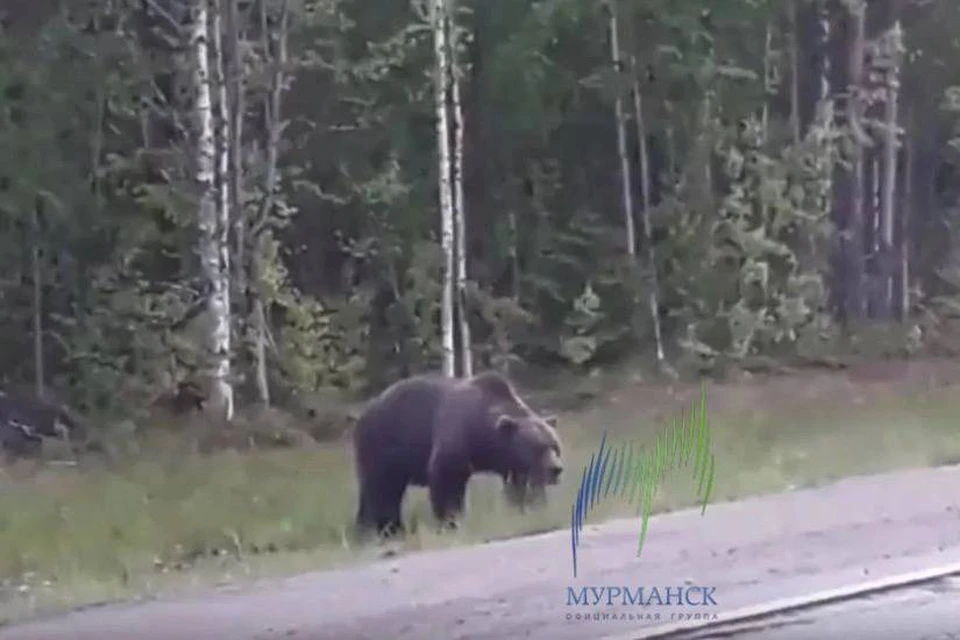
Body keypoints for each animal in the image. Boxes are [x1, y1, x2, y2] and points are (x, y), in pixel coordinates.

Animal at [352, 370, 564, 536]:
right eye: (537, 447)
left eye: (555, 446)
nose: (556, 469)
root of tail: (363, 414)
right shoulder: (456, 435)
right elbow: (447, 479)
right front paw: (451, 521)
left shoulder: (511, 463)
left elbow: (519, 486)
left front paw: (526, 509)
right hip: (382, 445)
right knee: (382, 489)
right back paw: (389, 529)